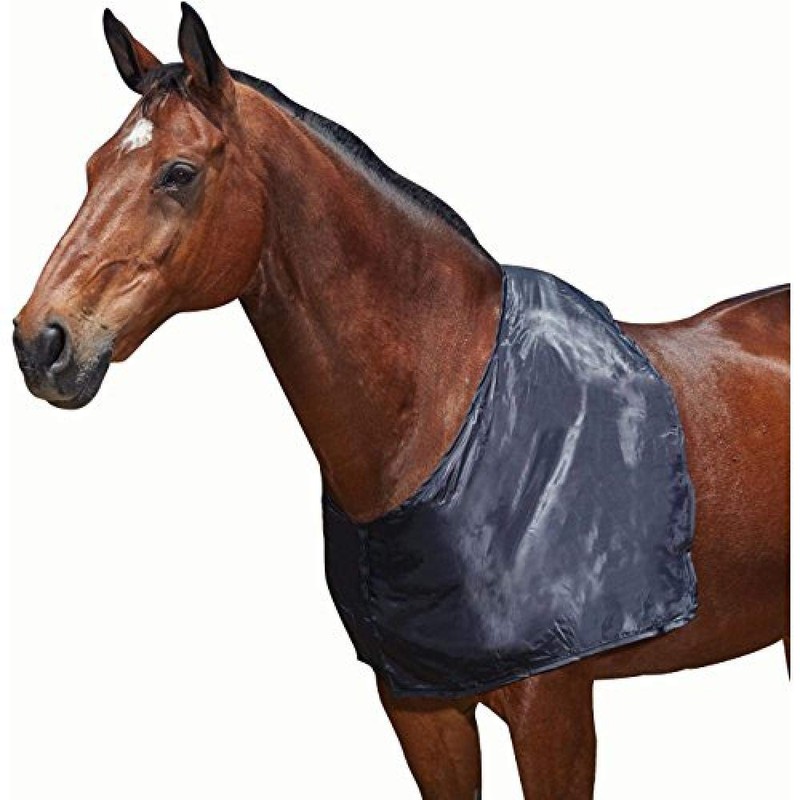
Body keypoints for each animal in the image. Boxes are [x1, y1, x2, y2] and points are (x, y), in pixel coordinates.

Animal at [12, 5, 789, 798]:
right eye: (93, 168)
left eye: (179, 173)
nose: (42, 341)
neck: (448, 412)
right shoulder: (422, 709)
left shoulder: (555, 708)